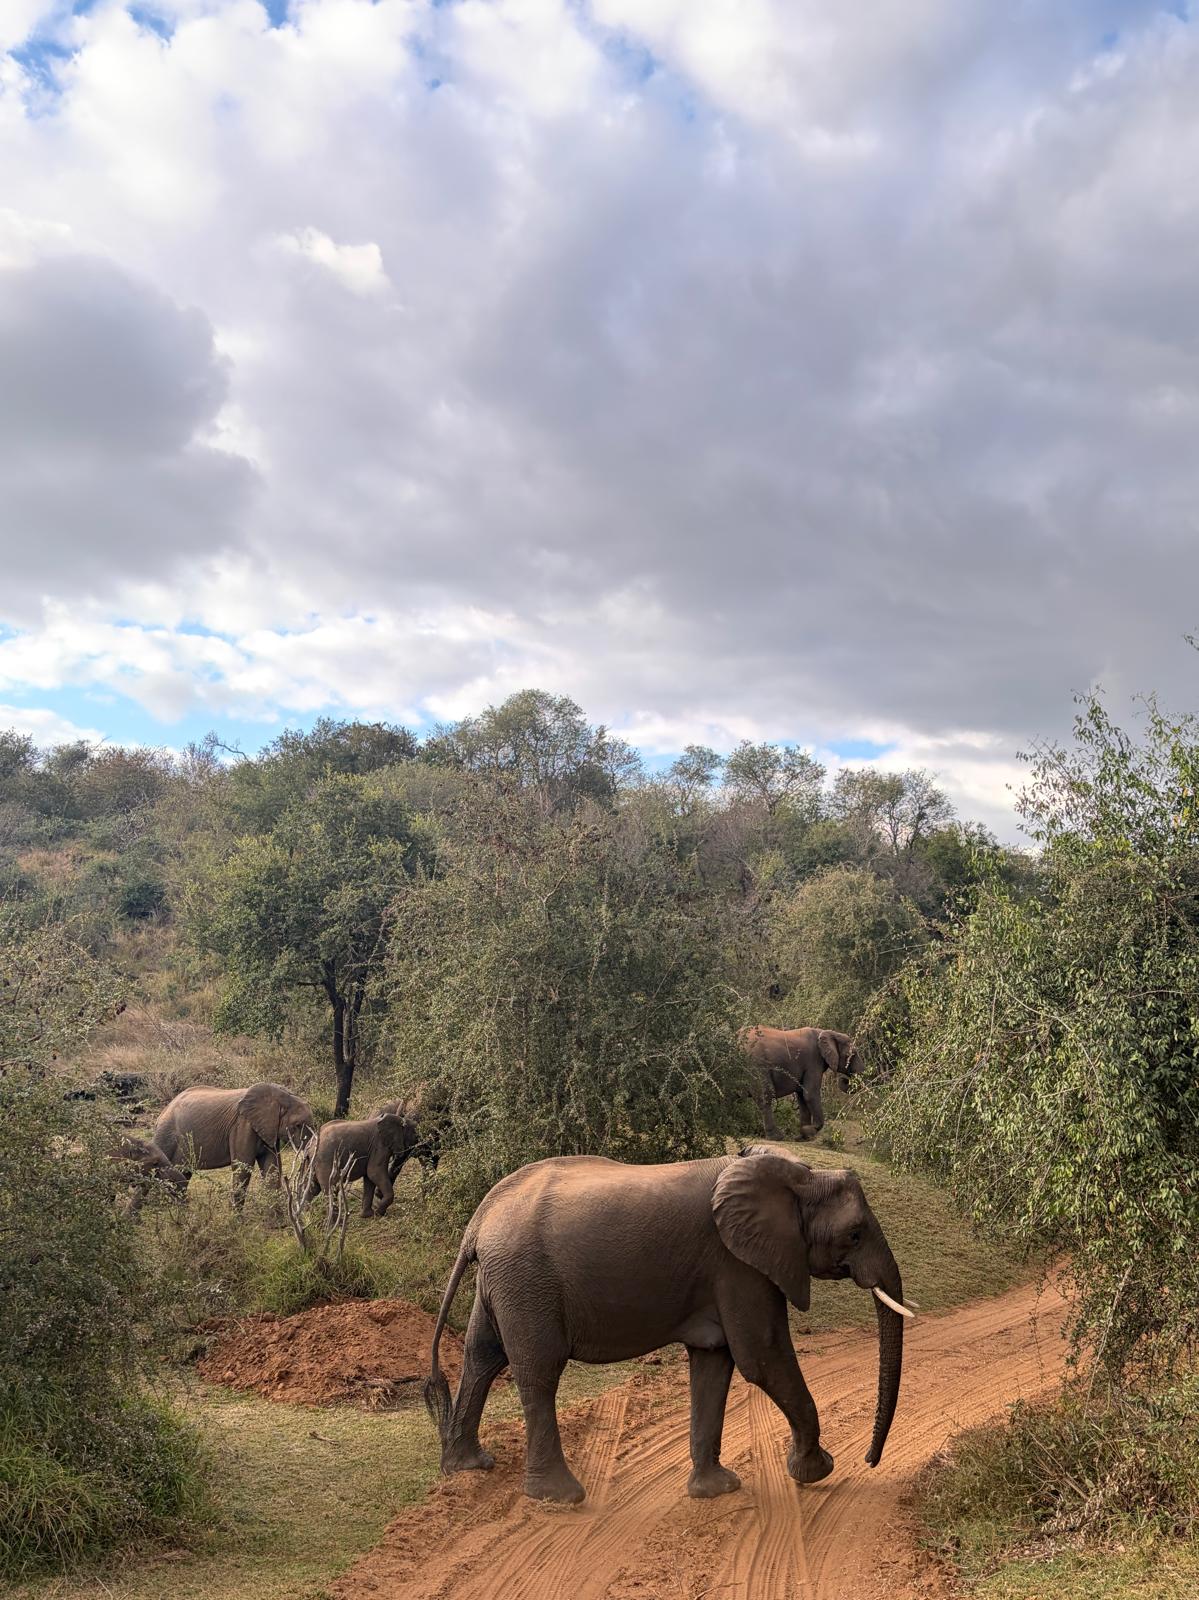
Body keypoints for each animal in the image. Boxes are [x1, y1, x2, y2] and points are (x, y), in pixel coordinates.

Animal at [153, 1082, 315, 1208]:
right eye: (297, 1125)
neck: (281, 1095)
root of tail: (162, 1112)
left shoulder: (267, 1128)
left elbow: (271, 1165)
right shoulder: (242, 1125)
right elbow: (243, 1165)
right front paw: (237, 1222)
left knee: (183, 1176)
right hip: (165, 1137)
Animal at [425, 1144, 909, 1505]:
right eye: (854, 1234)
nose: (869, 1461)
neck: (797, 1175)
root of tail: (478, 1222)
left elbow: (715, 1361)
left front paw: (716, 1490)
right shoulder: (738, 1265)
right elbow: (763, 1357)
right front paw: (815, 1470)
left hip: (501, 1282)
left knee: (482, 1356)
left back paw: (467, 1466)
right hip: (526, 1282)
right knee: (539, 1372)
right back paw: (560, 1497)